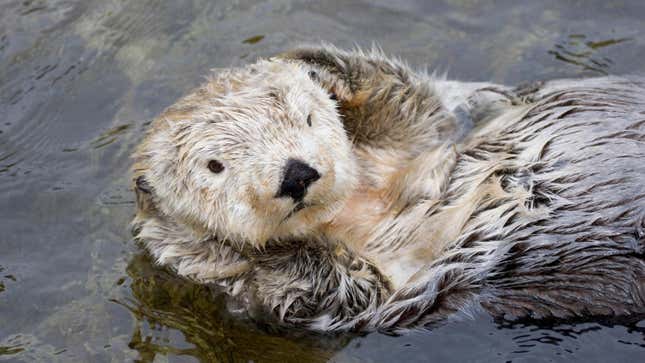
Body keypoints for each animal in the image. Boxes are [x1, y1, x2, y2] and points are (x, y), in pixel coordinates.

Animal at [132, 44, 644, 332]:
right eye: (214, 166)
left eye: (308, 117)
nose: (296, 174)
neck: (359, 206)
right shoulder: (359, 297)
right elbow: (337, 288)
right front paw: (218, 246)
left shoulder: (435, 134)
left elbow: (416, 107)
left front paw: (314, 63)